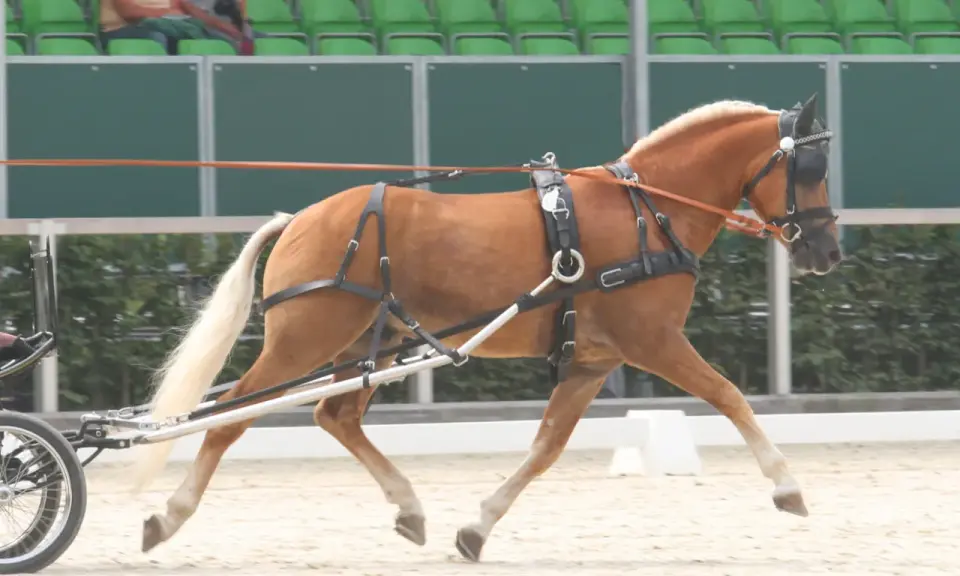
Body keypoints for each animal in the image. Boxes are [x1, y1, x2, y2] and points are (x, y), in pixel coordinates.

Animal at [129, 94, 842, 561]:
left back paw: (409, 507)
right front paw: (788, 487)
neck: (649, 211)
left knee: (334, 416)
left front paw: (476, 529)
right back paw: (169, 516)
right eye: (810, 171)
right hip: (307, 339)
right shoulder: (655, 341)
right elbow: (729, 396)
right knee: (231, 415)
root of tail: (301, 217)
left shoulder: (593, 361)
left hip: (367, 345)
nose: (827, 252)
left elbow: (546, 446)